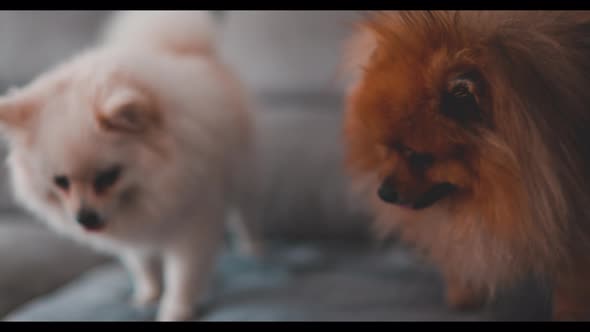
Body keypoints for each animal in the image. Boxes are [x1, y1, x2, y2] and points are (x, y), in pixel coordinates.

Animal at [0, 11, 262, 320]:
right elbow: (143, 264)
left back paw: (253, 247)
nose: (84, 218)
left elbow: (183, 275)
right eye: (60, 181)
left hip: (244, 177)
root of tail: (193, 51)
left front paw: (175, 310)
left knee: (245, 215)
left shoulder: (194, 225)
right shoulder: (131, 233)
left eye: (108, 177)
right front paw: (148, 295)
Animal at [344, 11, 590, 320]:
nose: (384, 193)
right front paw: (465, 292)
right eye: (386, 147)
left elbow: (573, 280)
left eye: (419, 156)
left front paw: (571, 313)